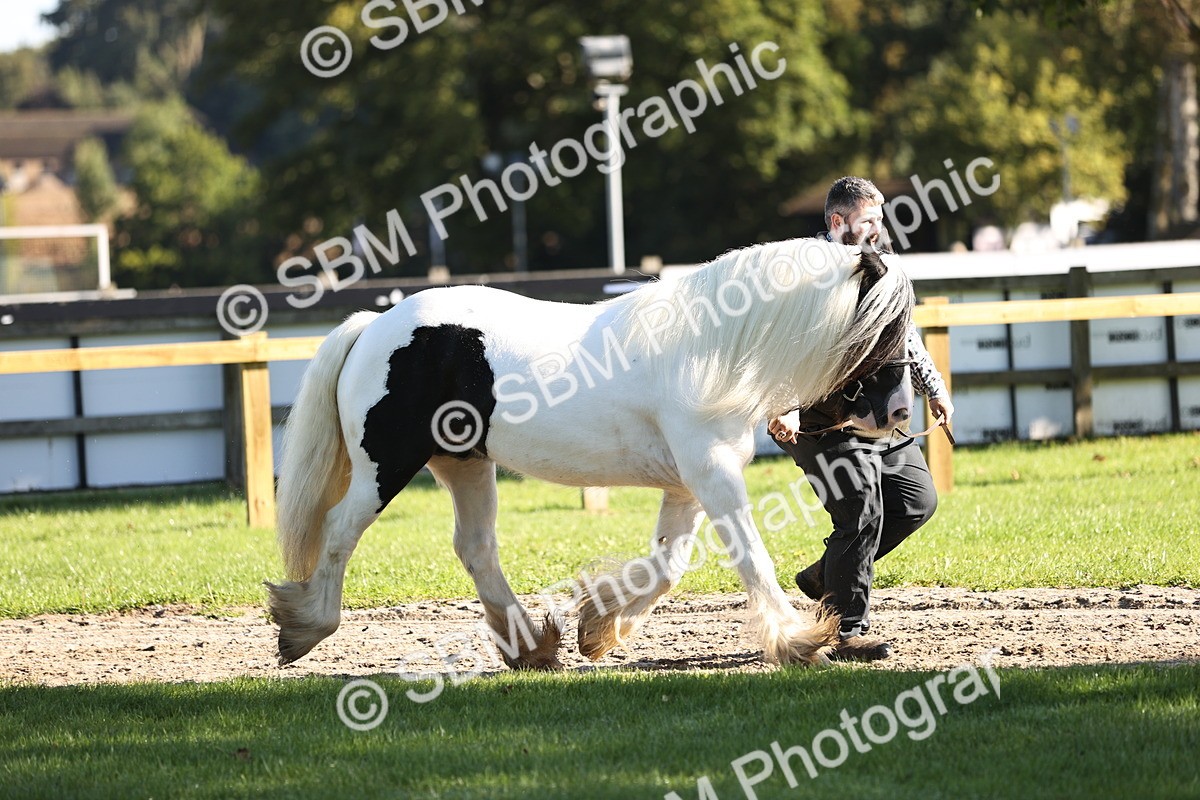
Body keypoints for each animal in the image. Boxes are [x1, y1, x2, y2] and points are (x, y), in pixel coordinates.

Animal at [266, 237, 915, 669]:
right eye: (884, 325)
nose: (898, 416)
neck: (713, 350)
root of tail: (375, 325)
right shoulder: (712, 474)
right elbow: (752, 557)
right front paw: (799, 642)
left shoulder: (688, 485)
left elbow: (667, 566)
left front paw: (598, 626)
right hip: (388, 466)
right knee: (339, 530)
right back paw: (305, 628)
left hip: (465, 464)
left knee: (475, 548)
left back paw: (533, 647)